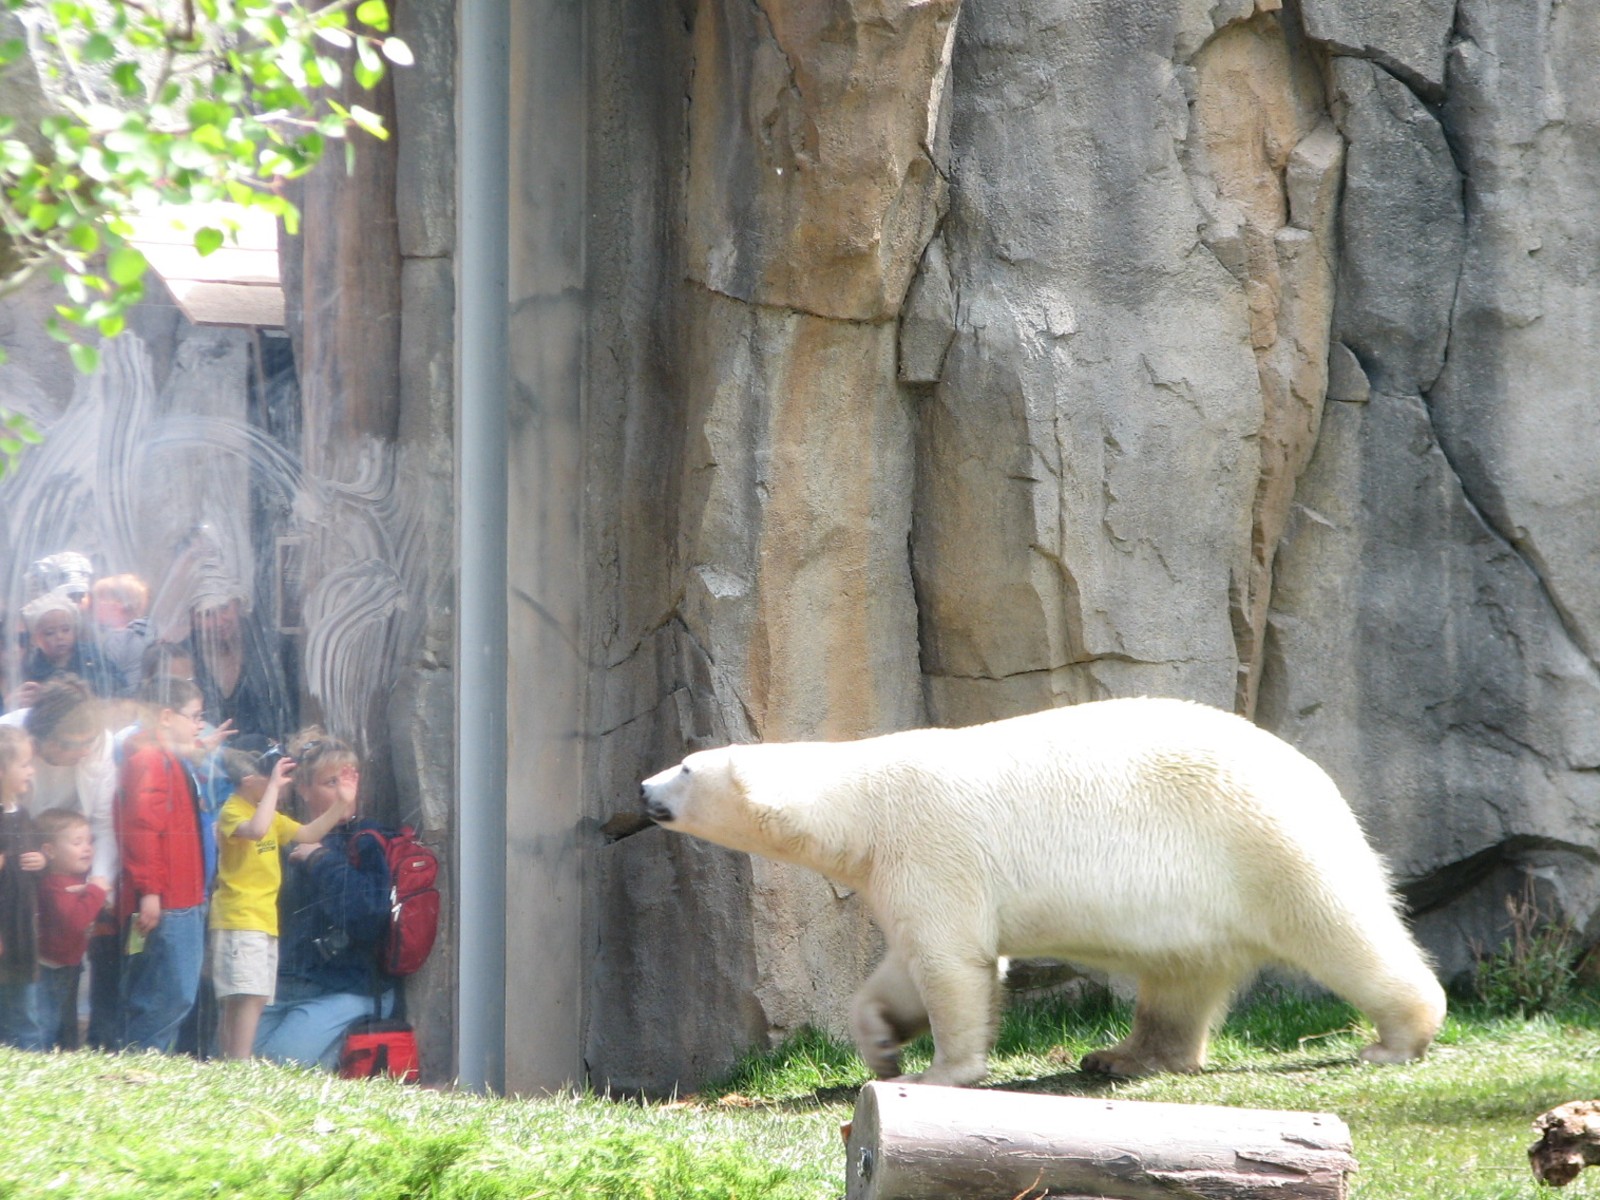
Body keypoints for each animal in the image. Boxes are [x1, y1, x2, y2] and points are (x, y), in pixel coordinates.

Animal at [639, 696, 1446, 1086]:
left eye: (685, 766)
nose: (643, 789)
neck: (862, 800)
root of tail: (1315, 776)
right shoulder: (901, 870)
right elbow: (906, 965)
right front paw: (881, 1044)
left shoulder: (931, 842)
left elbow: (952, 964)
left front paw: (941, 1072)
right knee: (1182, 977)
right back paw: (1122, 1057)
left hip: (1259, 840)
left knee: (1338, 928)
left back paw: (1395, 1039)